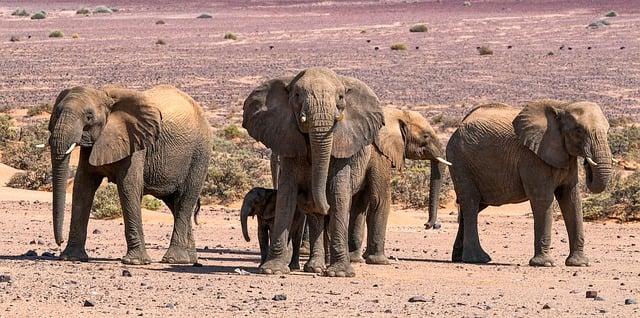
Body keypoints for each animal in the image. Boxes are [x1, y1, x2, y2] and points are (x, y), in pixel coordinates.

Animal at [48, 84, 212, 264]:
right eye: (56, 113)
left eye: (89, 117)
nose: (59, 241)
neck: (105, 96)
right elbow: (82, 187)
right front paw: (70, 257)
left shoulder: (136, 141)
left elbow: (128, 187)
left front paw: (135, 261)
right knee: (174, 203)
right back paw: (190, 259)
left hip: (200, 155)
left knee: (185, 200)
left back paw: (174, 260)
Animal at [242, 66, 384, 276]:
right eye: (297, 95)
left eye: (340, 97)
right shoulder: (287, 141)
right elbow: (287, 195)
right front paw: (271, 270)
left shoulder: (342, 145)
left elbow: (338, 194)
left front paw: (340, 273)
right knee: (315, 218)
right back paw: (314, 267)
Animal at [348, 107, 448, 264]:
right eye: (425, 136)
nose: (427, 225)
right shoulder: (378, 154)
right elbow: (380, 199)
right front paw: (381, 262)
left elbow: (360, 203)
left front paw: (356, 259)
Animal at [448, 100, 612, 268]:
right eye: (579, 131)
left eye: (607, 130)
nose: (587, 162)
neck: (561, 108)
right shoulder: (532, 157)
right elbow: (543, 200)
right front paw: (544, 264)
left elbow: (571, 200)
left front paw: (580, 263)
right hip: (459, 161)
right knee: (471, 203)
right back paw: (478, 259)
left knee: (472, 206)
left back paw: (459, 258)